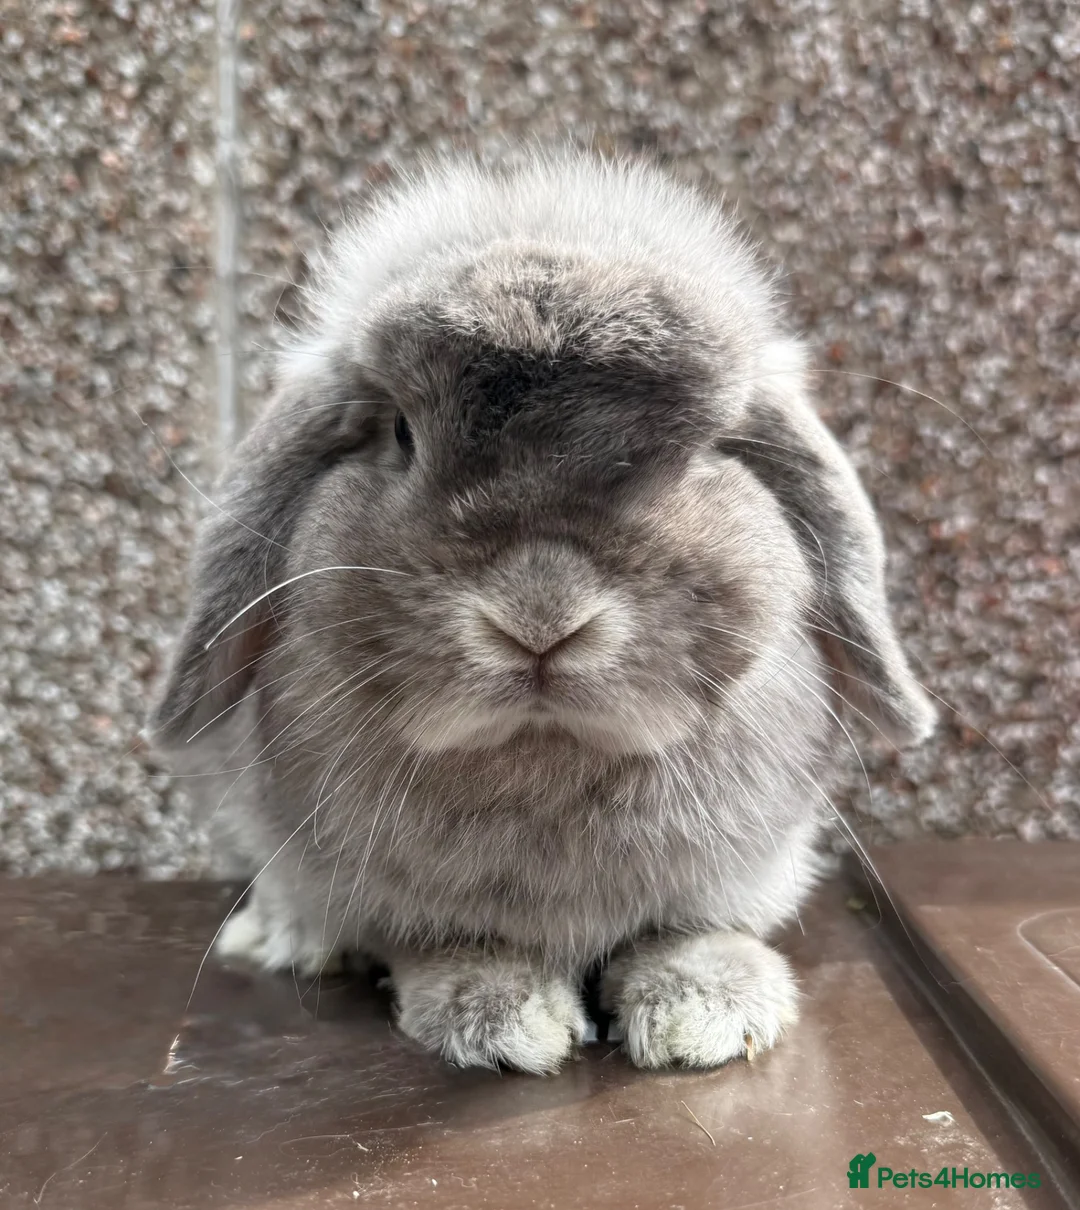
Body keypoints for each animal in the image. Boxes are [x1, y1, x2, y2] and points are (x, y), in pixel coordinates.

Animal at [150, 150, 935, 1074]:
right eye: (402, 434)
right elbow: (452, 945)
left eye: (699, 452)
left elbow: (685, 933)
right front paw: (502, 1018)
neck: (544, 755)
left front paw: (706, 1016)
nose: (540, 618)